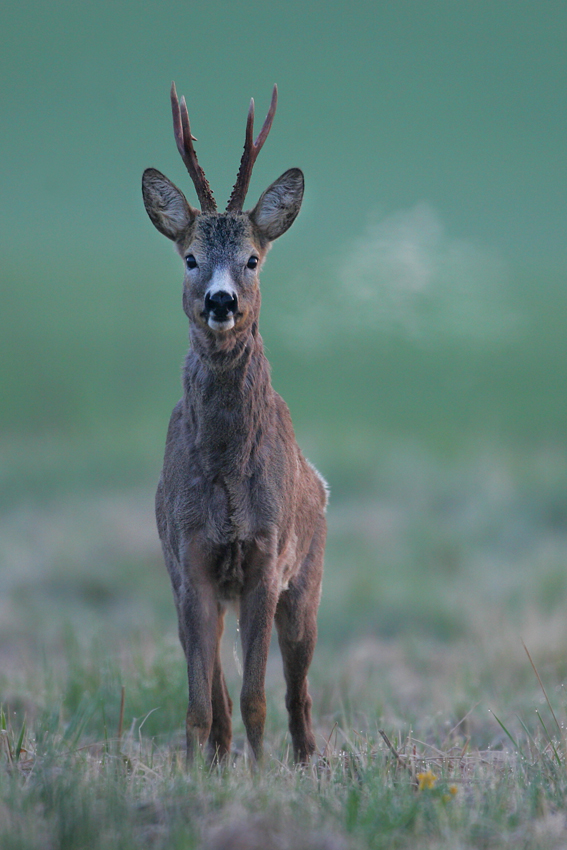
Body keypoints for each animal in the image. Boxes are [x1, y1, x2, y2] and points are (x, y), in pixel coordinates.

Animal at [142, 84, 328, 760]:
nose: (220, 301)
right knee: (217, 689)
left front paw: (258, 776)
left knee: (298, 691)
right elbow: (201, 703)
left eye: (251, 259)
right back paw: (222, 758)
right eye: (191, 257)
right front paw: (199, 770)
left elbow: (255, 699)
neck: (225, 472)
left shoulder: (266, 558)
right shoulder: (188, 556)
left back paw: (305, 760)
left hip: (308, 581)